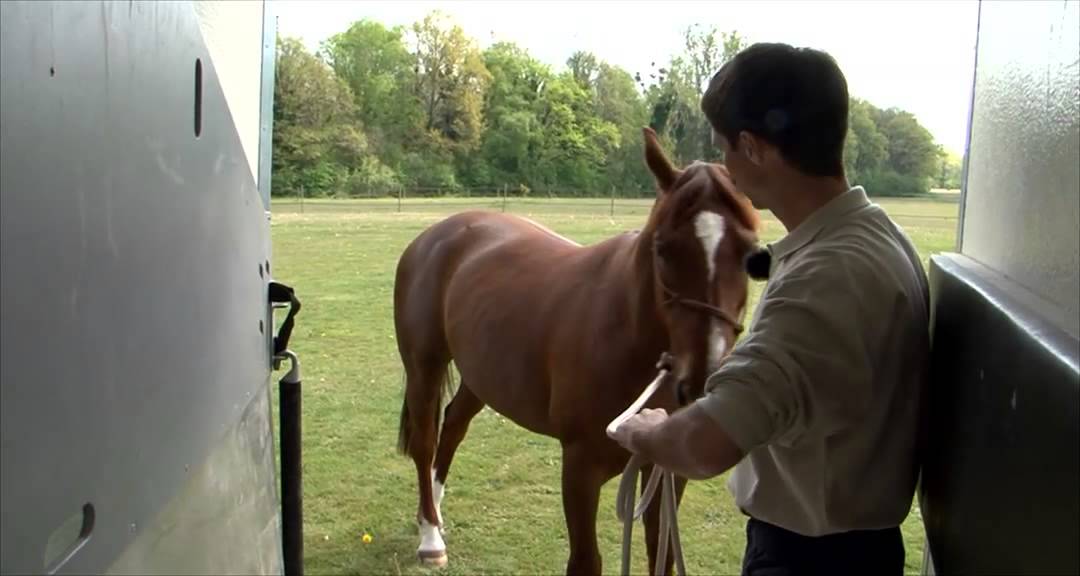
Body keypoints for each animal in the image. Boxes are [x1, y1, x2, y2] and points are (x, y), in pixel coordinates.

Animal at [393, 127, 763, 575]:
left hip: (480, 375)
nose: (702, 381)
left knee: (453, 425)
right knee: (426, 440)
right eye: (663, 249)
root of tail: (434, 236)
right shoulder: (580, 469)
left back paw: (432, 510)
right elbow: (586, 560)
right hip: (424, 367)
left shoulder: (668, 472)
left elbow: (661, 553)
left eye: (752, 255)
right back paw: (430, 534)